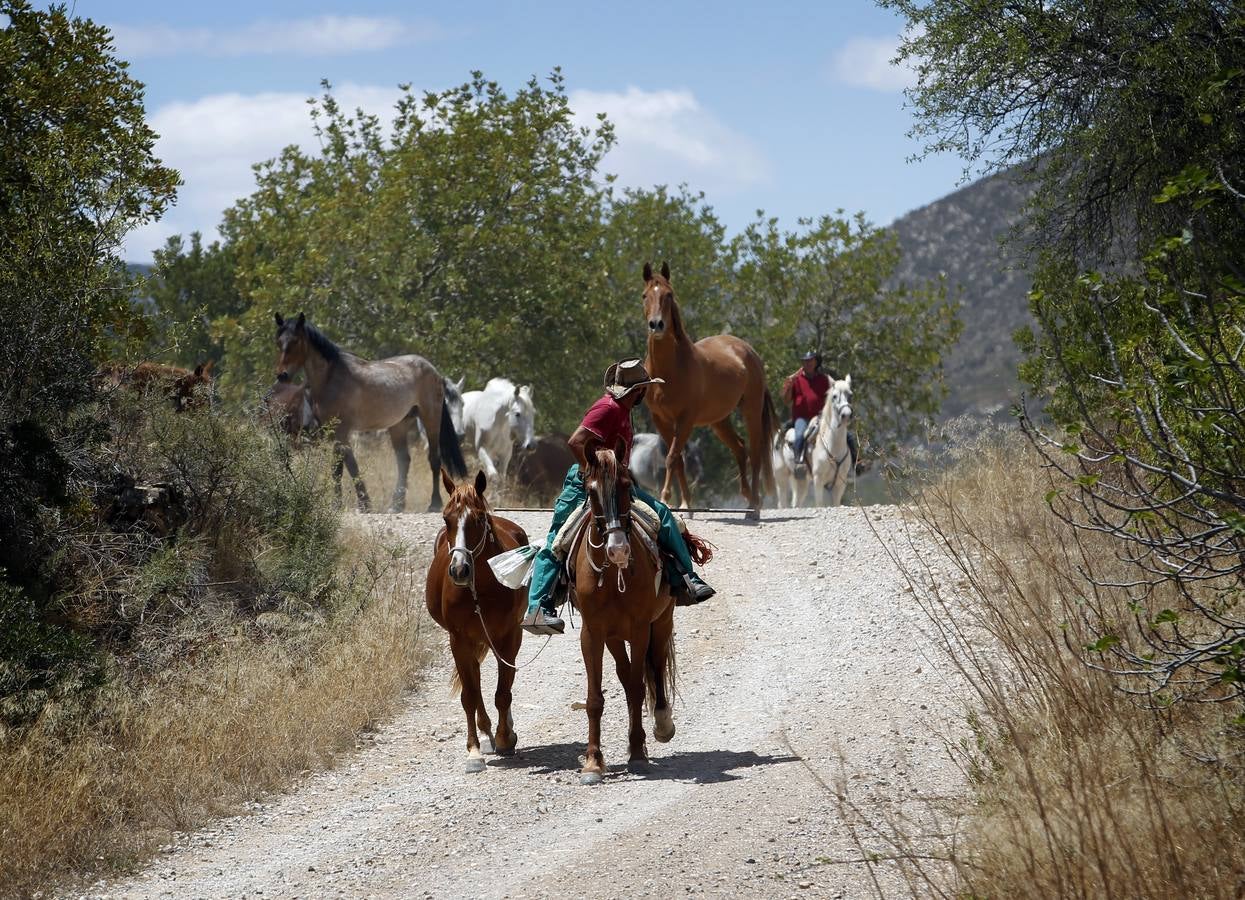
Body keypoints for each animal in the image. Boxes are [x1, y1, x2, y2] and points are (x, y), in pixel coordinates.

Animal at [273, 314, 468, 512]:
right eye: (279, 342)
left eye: (296, 341)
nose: (282, 375)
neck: (332, 377)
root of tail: (433, 371)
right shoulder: (333, 432)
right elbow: (339, 468)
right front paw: (342, 504)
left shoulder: (342, 431)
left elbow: (349, 466)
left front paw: (362, 504)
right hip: (399, 424)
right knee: (404, 461)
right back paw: (396, 505)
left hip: (431, 418)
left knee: (434, 459)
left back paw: (434, 503)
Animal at [425, 468, 527, 771]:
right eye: (446, 518)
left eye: (479, 519)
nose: (459, 570)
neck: (479, 589)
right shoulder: (458, 640)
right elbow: (470, 695)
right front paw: (474, 751)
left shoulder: (509, 636)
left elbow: (503, 692)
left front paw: (505, 738)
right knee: (476, 682)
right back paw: (484, 731)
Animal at [575, 448, 682, 786]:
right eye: (591, 491)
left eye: (626, 486)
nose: (618, 549)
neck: (612, 577)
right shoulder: (592, 633)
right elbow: (595, 699)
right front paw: (593, 762)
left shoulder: (639, 628)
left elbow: (637, 688)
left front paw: (636, 752)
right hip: (614, 637)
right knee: (624, 673)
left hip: (661, 623)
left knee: (656, 669)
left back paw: (661, 725)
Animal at [647, 258, 771, 520]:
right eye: (645, 295)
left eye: (669, 295)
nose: (656, 324)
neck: (670, 369)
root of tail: (747, 350)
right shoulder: (660, 419)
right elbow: (678, 459)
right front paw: (685, 506)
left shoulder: (685, 419)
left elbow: (672, 457)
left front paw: (665, 498)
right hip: (719, 421)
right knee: (740, 448)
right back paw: (746, 496)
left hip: (751, 410)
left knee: (755, 453)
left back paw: (754, 507)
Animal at [806, 375, 856, 507]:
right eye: (834, 396)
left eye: (851, 395)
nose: (846, 415)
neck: (833, 448)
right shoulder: (818, 481)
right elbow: (819, 504)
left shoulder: (840, 483)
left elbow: (836, 504)